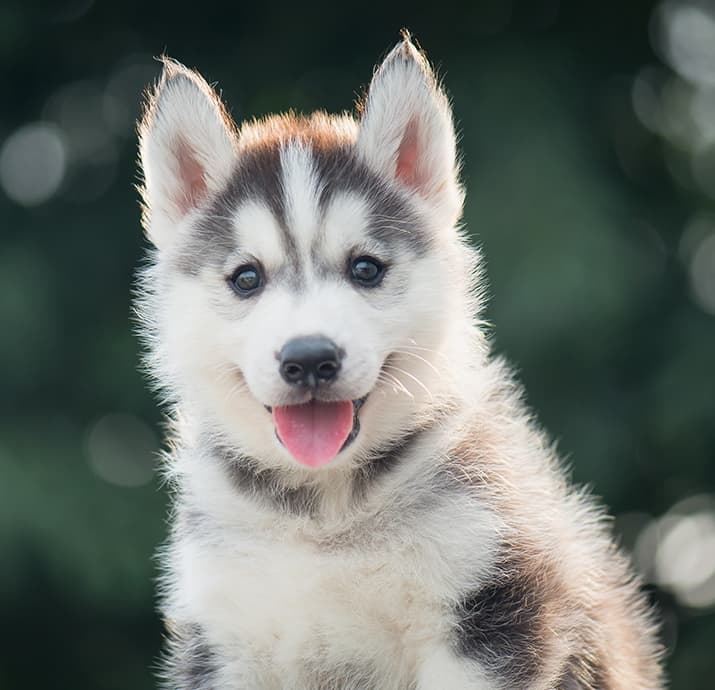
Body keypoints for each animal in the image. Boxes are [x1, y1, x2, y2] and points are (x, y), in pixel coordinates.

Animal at [138, 36, 664, 688]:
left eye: (365, 268)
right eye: (246, 278)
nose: (309, 359)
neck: (324, 517)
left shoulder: (490, 607)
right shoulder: (224, 636)